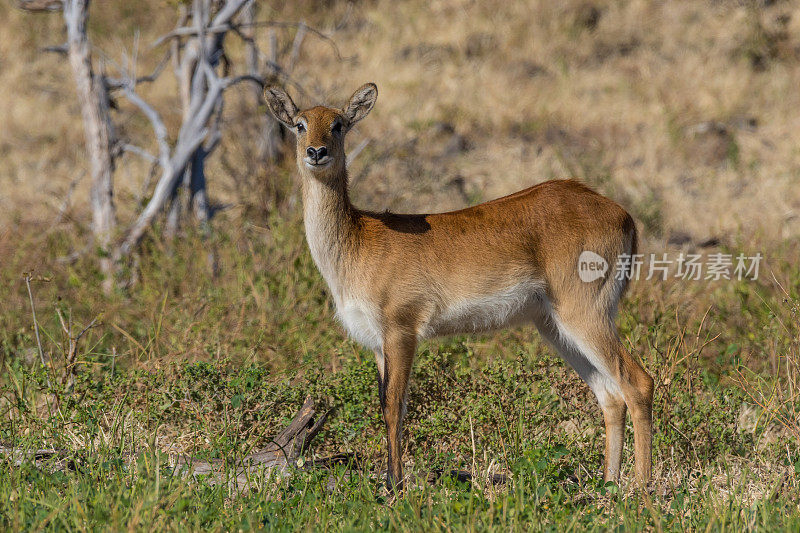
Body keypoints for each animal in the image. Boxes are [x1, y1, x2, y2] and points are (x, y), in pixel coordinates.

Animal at [266, 82, 652, 490]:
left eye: (338, 124)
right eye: (299, 124)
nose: (316, 152)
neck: (358, 241)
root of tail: (623, 215)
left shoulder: (401, 331)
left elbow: (395, 406)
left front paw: (395, 487)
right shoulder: (376, 343)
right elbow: (384, 403)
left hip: (584, 314)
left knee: (638, 383)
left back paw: (641, 488)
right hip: (553, 325)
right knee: (610, 395)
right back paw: (609, 487)